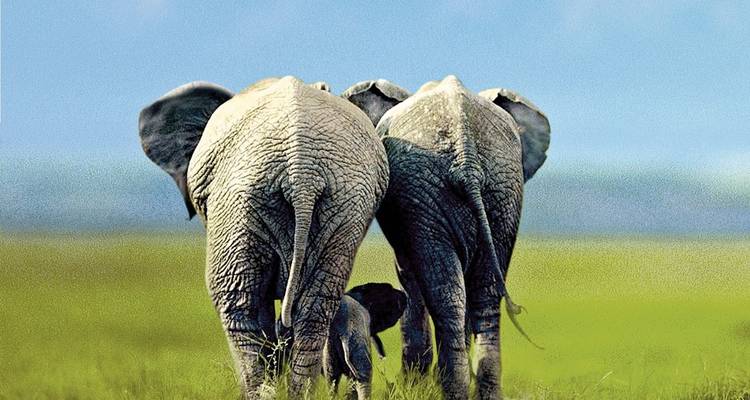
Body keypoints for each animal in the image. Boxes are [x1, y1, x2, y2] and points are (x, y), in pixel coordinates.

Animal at [342, 76, 550, 399]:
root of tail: (467, 158)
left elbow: (409, 278)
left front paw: (410, 386)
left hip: (431, 194)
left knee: (446, 295)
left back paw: (452, 391)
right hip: (500, 190)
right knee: (484, 296)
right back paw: (483, 393)